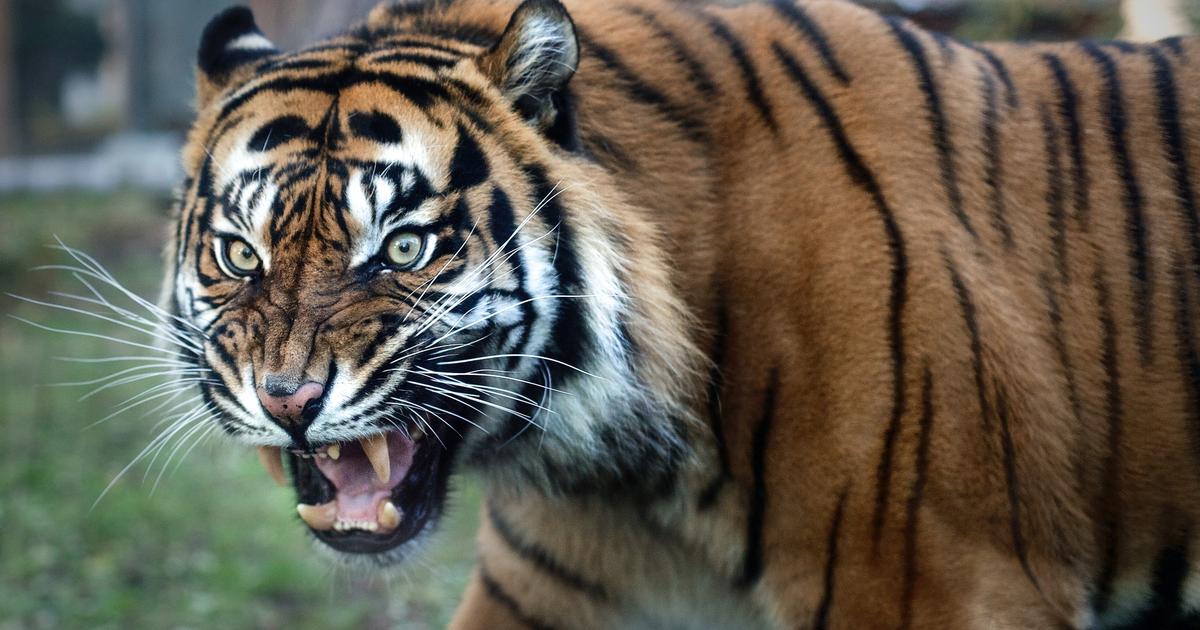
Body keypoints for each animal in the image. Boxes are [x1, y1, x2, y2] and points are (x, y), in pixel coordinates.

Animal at [160, 0, 1200, 627]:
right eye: (240, 254)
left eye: (405, 248)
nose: (287, 400)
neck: (625, 468)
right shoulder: (551, 586)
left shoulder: (938, 583)